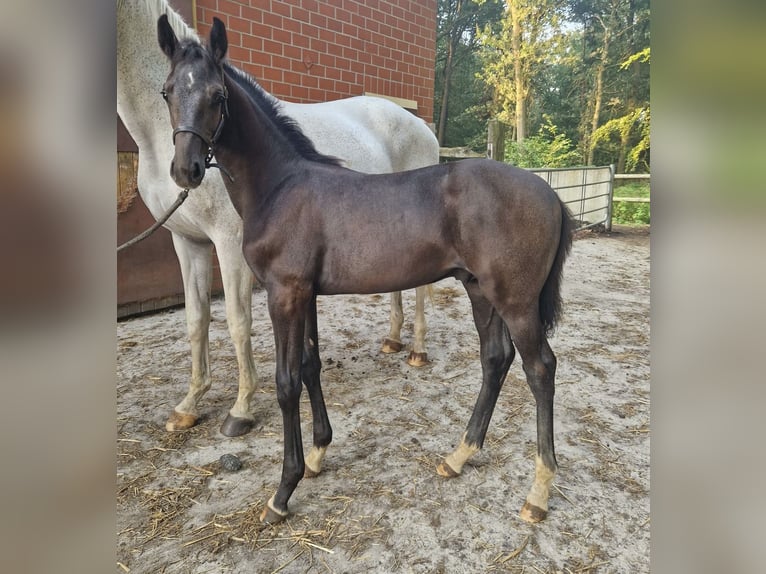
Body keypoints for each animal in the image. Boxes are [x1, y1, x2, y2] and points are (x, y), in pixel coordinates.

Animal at [117, 0, 440, 437]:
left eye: (218, 96)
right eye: (166, 92)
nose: (187, 171)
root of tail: (420, 124)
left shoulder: (228, 243)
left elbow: (238, 321)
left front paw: (241, 409)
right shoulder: (186, 241)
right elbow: (196, 320)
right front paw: (189, 404)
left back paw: (418, 351)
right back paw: (393, 340)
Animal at [158, 16, 574, 524]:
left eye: (217, 95)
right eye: (167, 91)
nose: (186, 170)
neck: (281, 187)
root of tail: (551, 195)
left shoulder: (284, 293)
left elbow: (286, 383)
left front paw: (283, 492)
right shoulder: (305, 294)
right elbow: (310, 367)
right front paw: (318, 455)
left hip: (515, 300)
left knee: (540, 369)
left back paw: (538, 491)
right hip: (479, 289)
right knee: (495, 359)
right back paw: (458, 456)